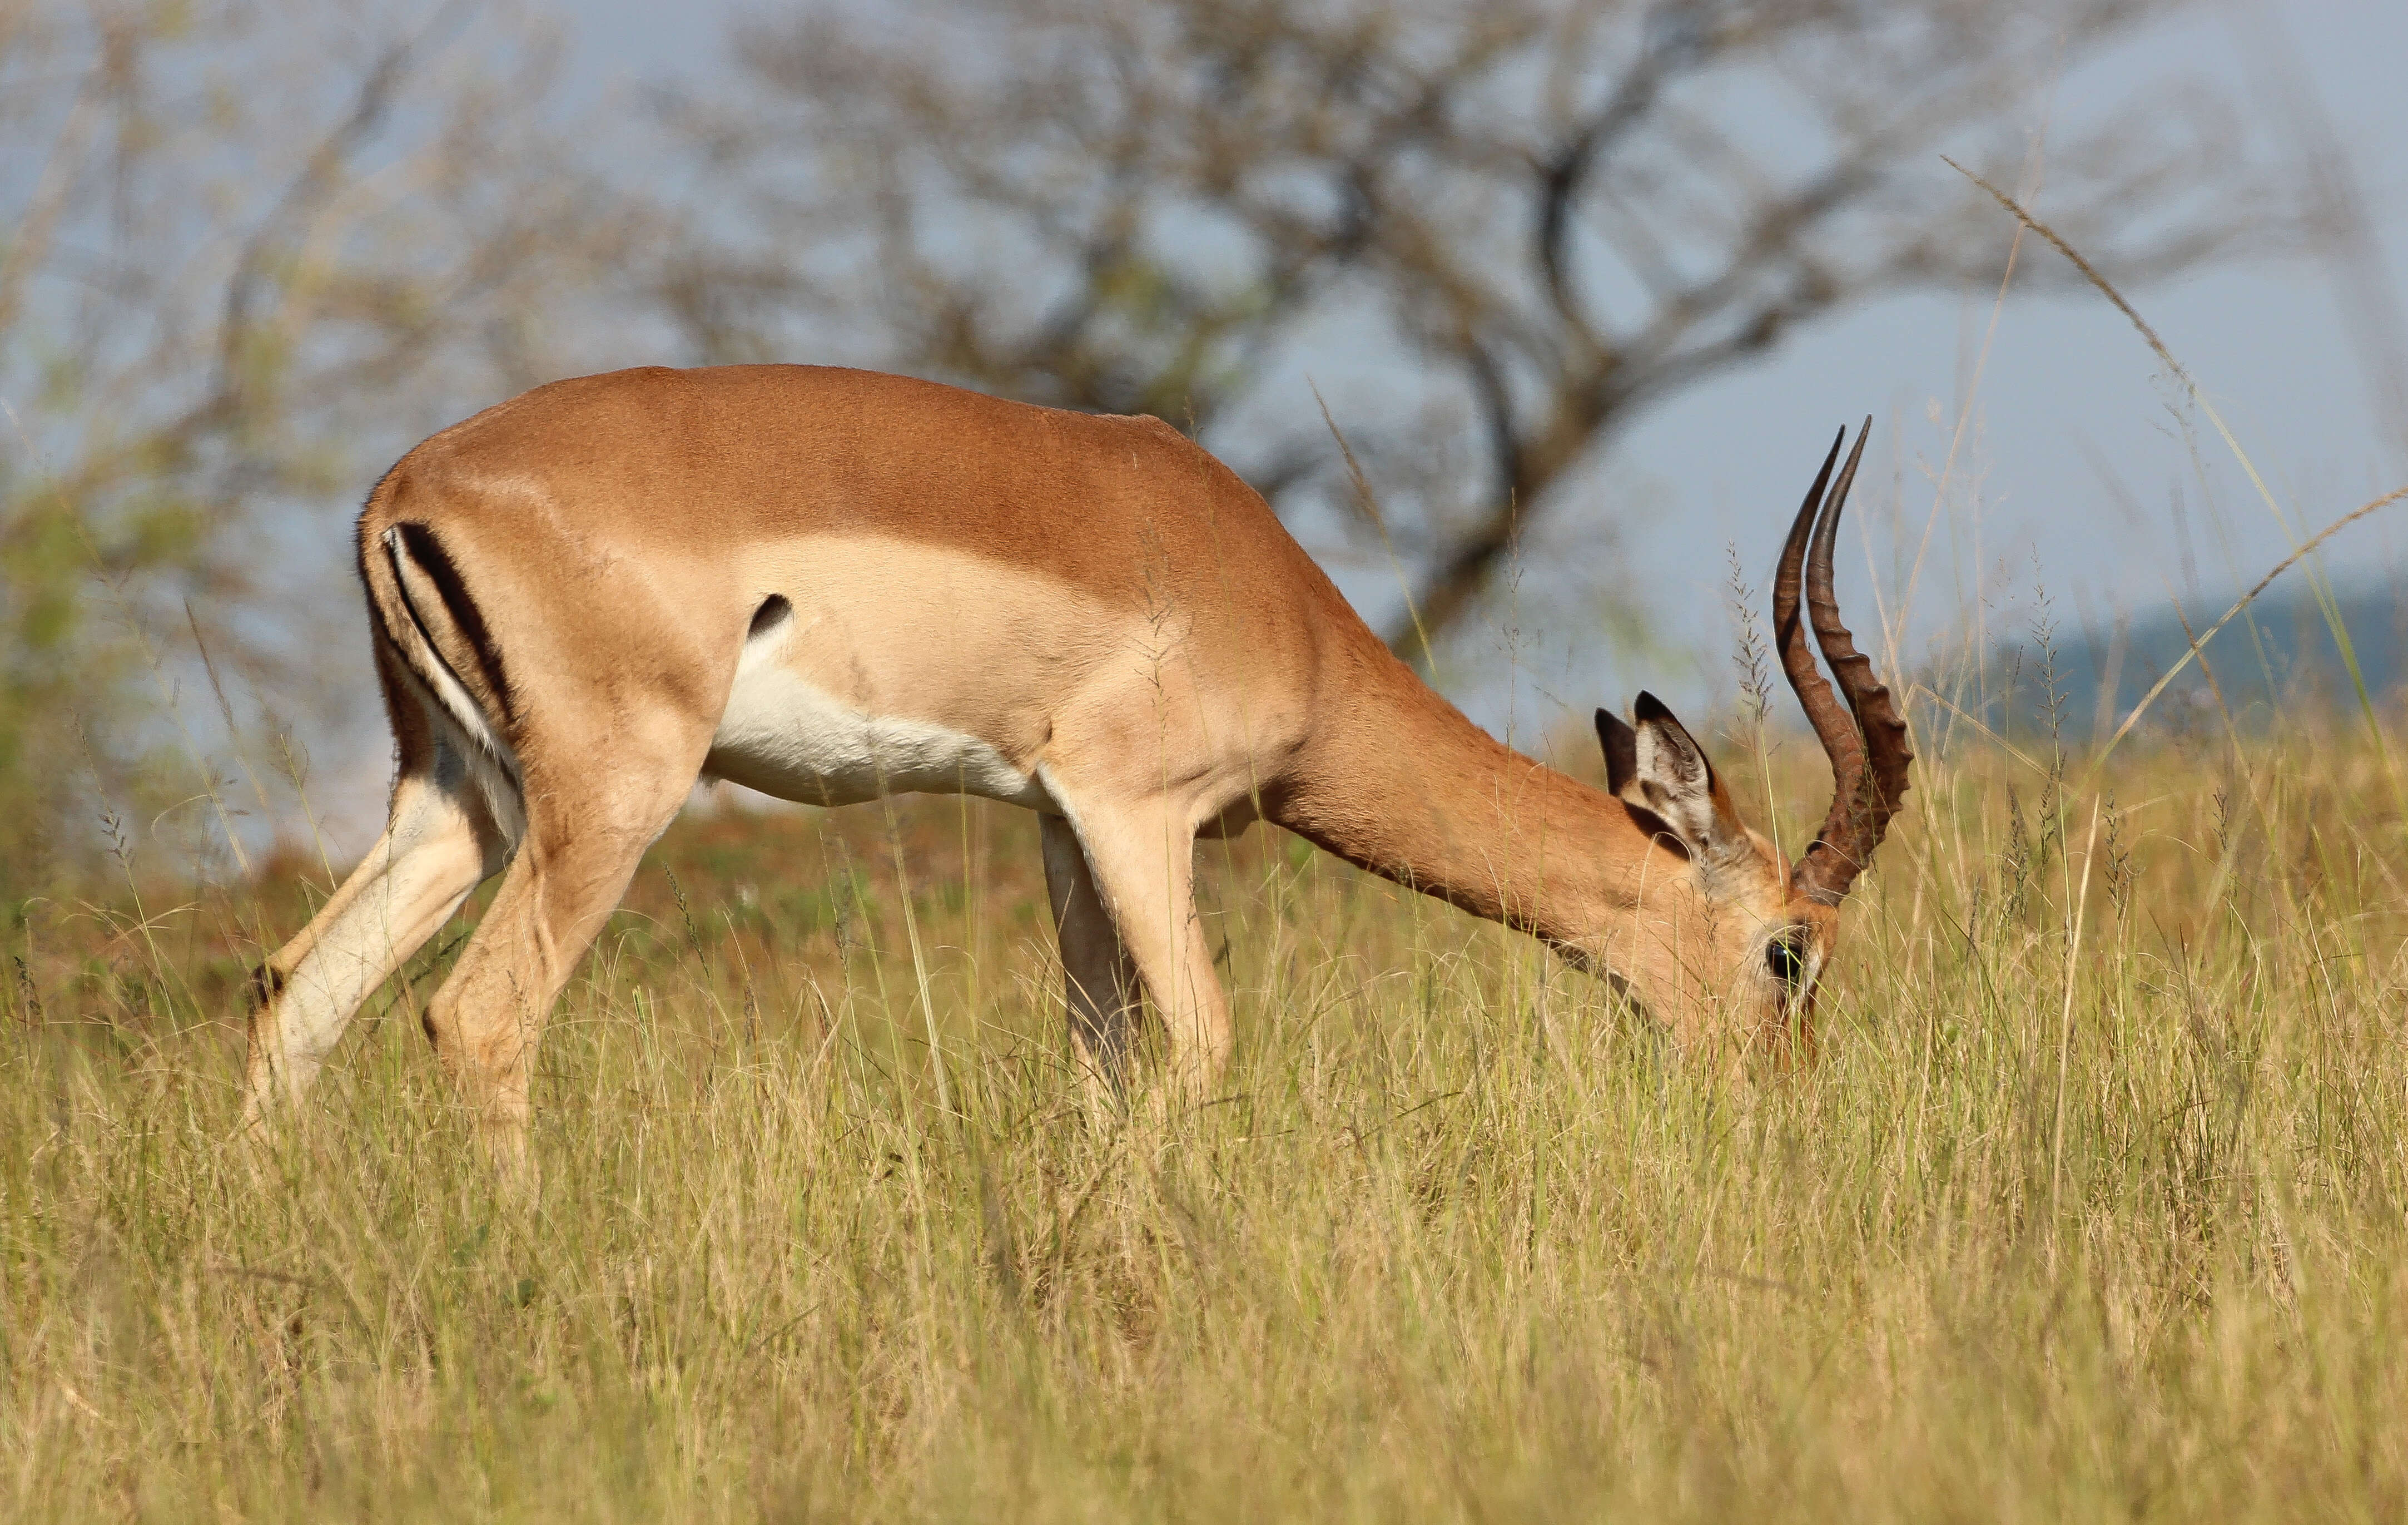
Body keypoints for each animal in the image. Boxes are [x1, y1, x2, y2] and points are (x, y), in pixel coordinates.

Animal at [239, 368, 1897, 1166]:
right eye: (1786, 952)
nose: (1785, 1107)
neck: (1268, 601)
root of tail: (405, 488)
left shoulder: (1056, 825)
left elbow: (1096, 1066)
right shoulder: (1131, 811)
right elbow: (1204, 1043)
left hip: (458, 797)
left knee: (292, 995)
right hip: (610, 796)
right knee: (477, 1015)